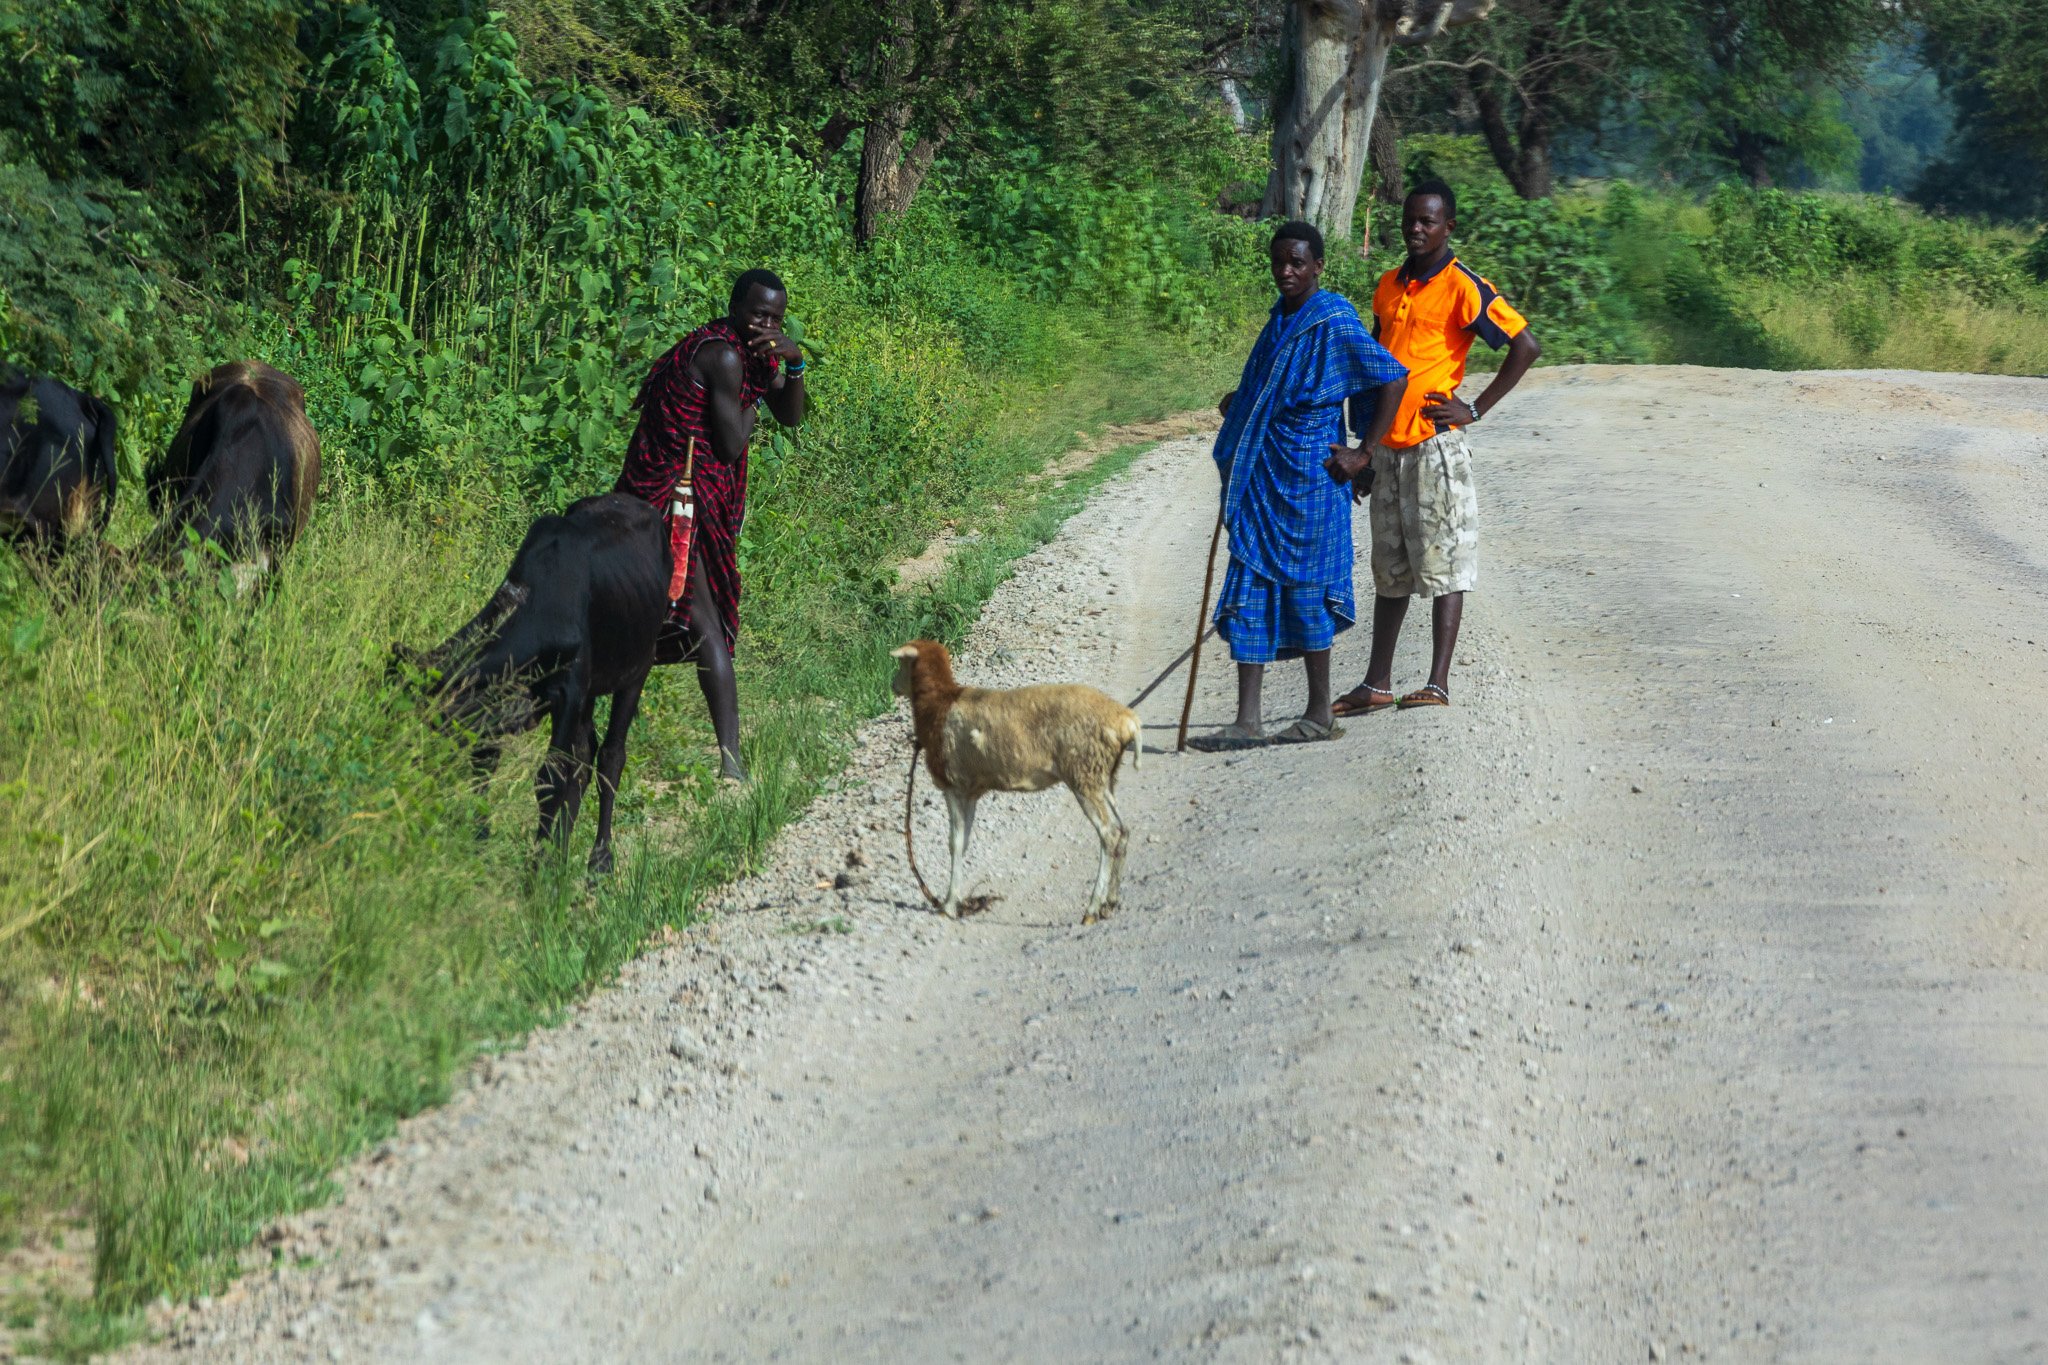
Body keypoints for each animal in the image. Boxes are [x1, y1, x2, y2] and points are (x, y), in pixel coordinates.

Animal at [389, 493, 663, 875]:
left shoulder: (569, 692)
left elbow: (551, 778)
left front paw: (534, 871)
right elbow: (490, 768)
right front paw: (483, 845)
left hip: (638, 667)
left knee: (611, 756)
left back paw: (599, 862)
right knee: (585, 757)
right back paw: (561, 855)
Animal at [884, 642, 1138, 925]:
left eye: (901, 663)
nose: (893, 685)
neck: (940, 704)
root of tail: (1126, 721)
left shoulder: (954, 785)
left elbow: (955, 844)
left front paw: (948, 906)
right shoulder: (971, 791)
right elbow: (965, 842)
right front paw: (957, 900)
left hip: (1083, 772)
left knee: (1108, 833)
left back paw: (1092, 909)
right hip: (1103, 775)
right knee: (1123, 830)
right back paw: (1110, 902)